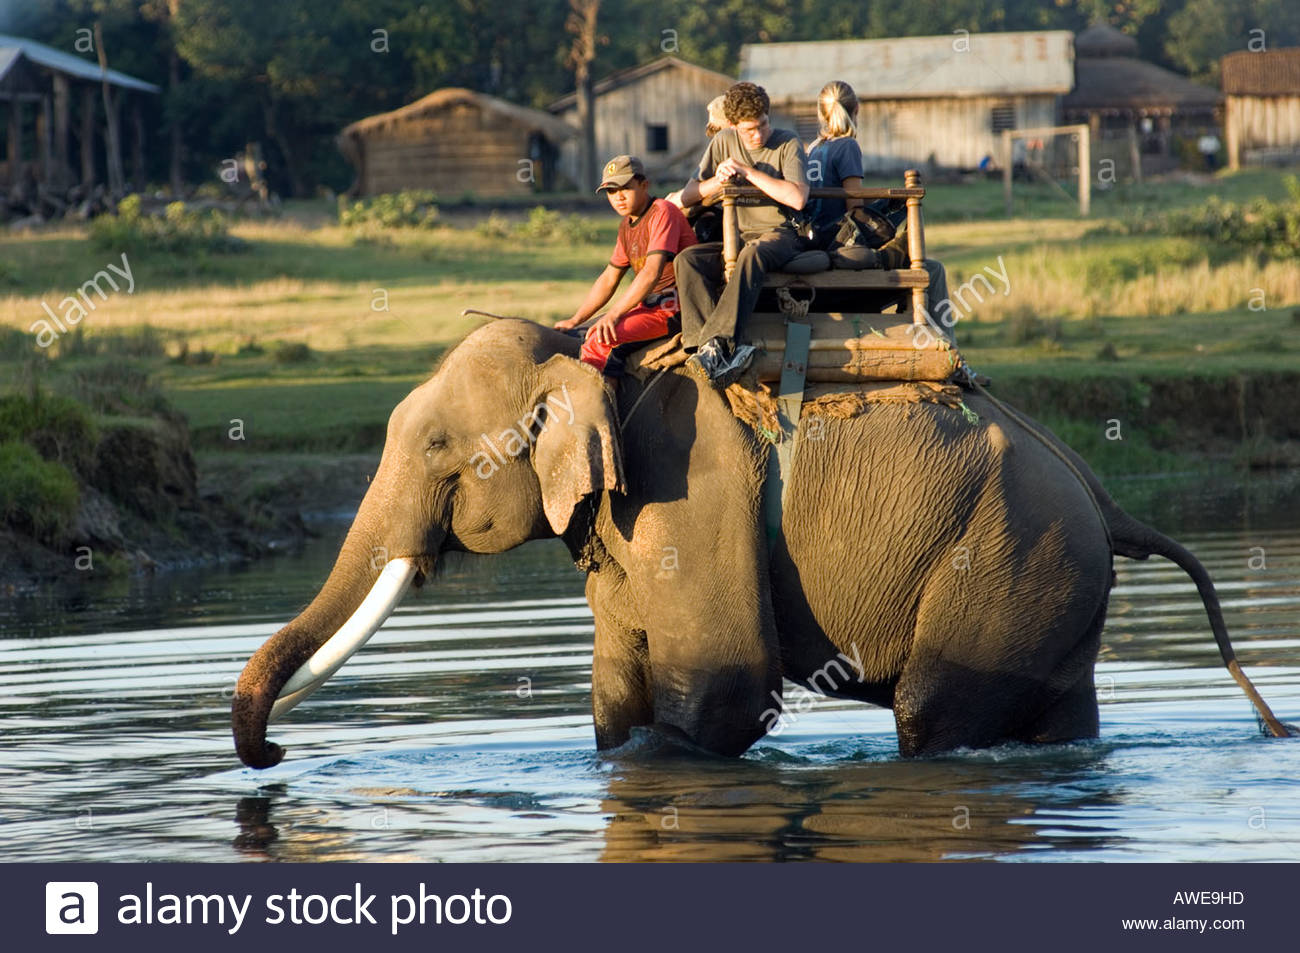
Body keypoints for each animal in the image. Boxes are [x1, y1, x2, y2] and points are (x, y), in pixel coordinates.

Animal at [232, 319, 1291, 769]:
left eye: (436, 449)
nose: (275, 753)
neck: (591, 354)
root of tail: (1107, 498)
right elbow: (618, 696)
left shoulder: (691, 488)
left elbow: (723, 689)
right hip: (1054, 583)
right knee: (1059, 715)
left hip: (1008, 562)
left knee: (936, 715)